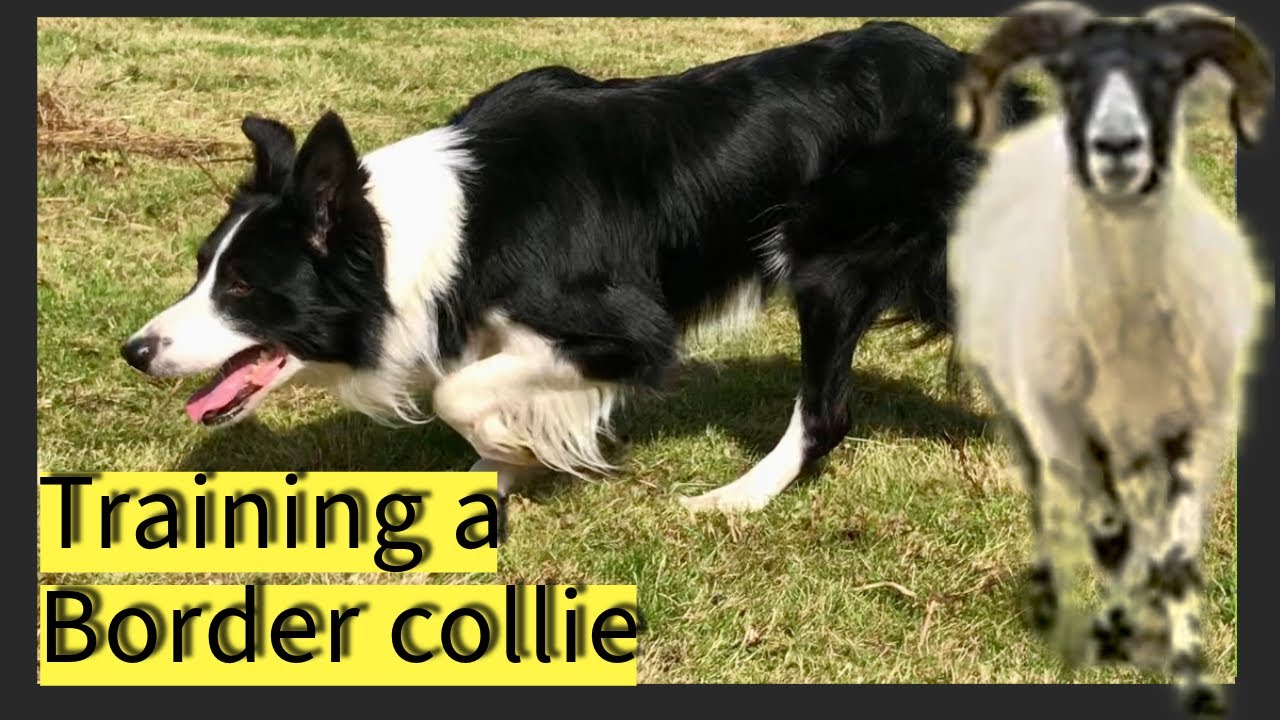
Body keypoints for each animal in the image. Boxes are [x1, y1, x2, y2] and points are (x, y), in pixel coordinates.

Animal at [947, 3, 1272, 714]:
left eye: (1169, 74)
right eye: (1068, 75)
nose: (1117, 146)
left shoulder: (1198, 431)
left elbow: (1173, 555)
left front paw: (1184, 659)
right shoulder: (1066, 429)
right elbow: (1109, 536)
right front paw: (1110, 636)